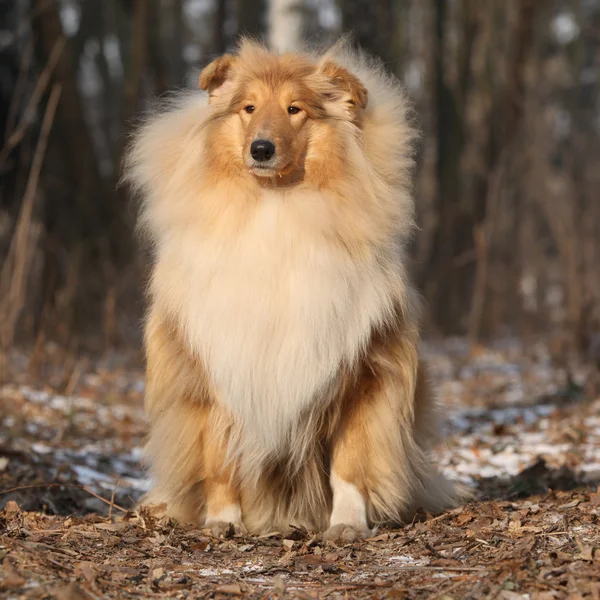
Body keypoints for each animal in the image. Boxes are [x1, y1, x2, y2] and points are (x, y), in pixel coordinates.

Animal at [124, 39, 464, 540]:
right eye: (248, 108)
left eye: (295, 109)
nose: (261, 149)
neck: (276, 209)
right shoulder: (213, 371)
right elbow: (220, 460)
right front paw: (222, 521)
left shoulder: (363, 373)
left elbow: (350, 464)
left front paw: (347, 525)